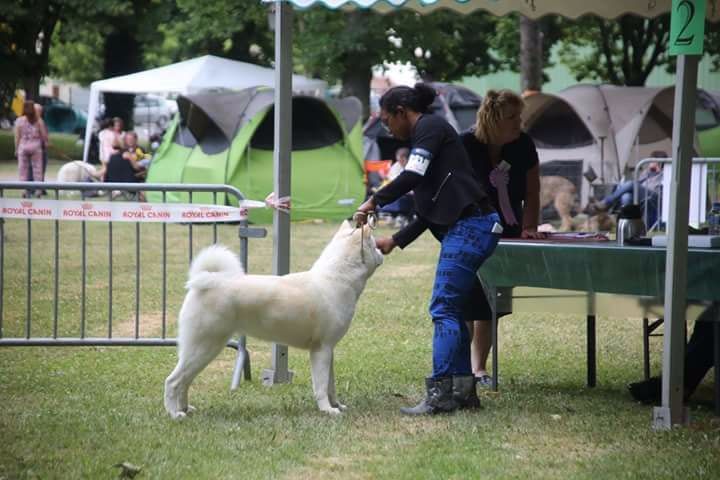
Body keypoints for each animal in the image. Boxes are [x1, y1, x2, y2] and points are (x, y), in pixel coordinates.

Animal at [166, 219, 386, 418]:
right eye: (374, 245)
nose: (383, 251)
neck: (338, 278)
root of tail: (205, 281)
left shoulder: (328, 350)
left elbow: (331, 385)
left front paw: (337, 405)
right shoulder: (321, 349)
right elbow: (321, 386)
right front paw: (327, 410)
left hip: (204, 349)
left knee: (184, 381)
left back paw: (185, 409)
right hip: (204, 347)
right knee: (173, 381)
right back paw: (174, 414)